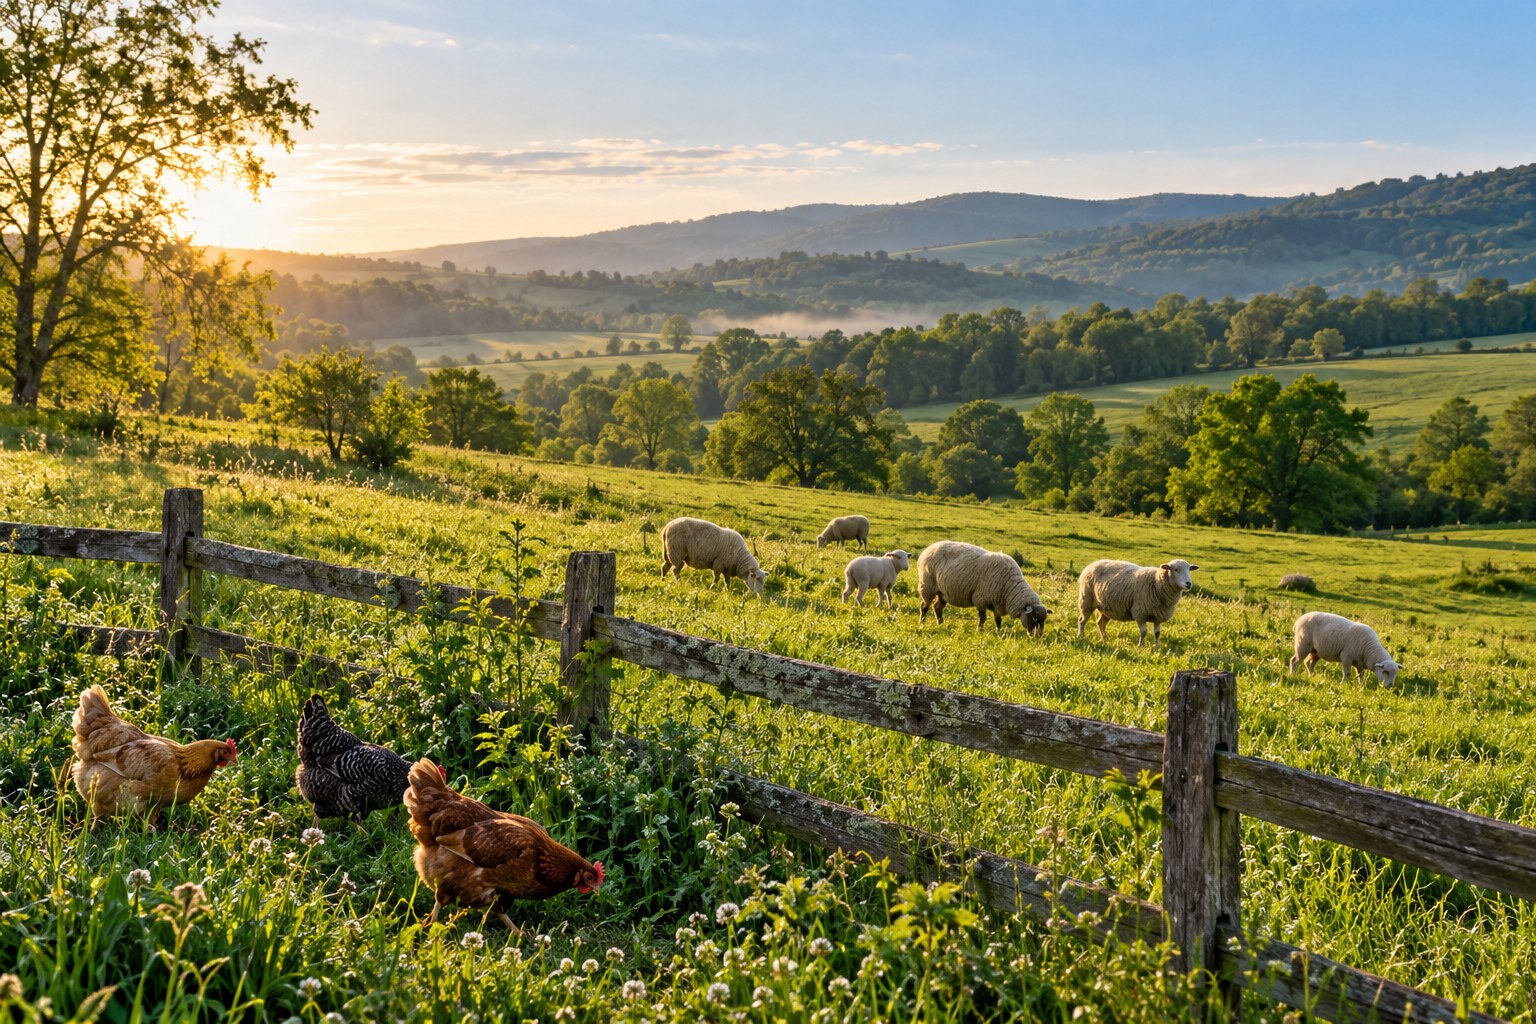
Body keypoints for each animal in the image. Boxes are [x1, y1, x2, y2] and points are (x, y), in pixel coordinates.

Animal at [916, 540, 1051, 633]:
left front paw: (999, 631)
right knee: (924, 606)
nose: (1038, 636)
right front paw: (979, 630)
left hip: (943, 592)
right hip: (927, 586)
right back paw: (922, 622)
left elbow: (998, 619)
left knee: (937, 607)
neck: (1009, 587)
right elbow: (983, 618)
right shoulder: (980, 599)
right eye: (1034, 619)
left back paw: (941, 623)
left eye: (1044, 620)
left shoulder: (997, 603)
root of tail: (928, 548)